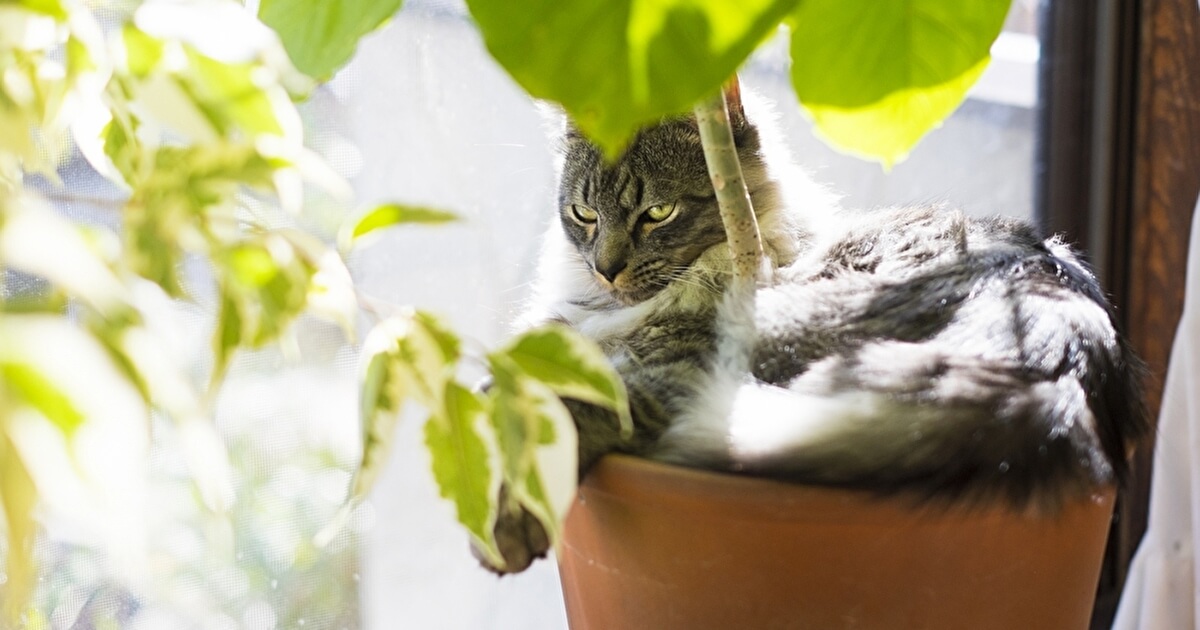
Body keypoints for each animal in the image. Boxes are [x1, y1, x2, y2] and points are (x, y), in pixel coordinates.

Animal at [482, 84, 1147, 573]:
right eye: (584, 214)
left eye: (658, 214)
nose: (607, 268)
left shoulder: (672, 368)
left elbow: (569, 411)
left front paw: (509, 524)